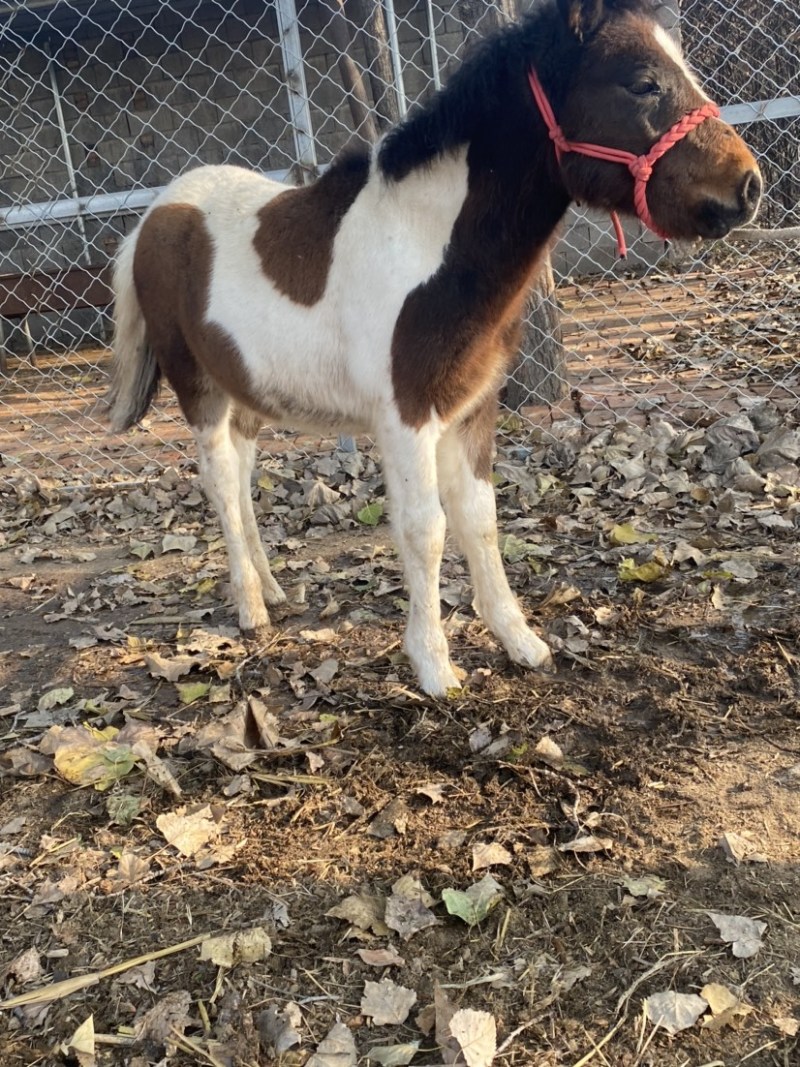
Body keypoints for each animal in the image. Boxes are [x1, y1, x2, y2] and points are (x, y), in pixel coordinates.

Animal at [107, 0, 761, 697]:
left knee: (243, 471)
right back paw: (251, 609)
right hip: (198, 389)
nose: (748, 187)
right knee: (221, 481)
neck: (426, 243)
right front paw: (434, 667)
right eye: (641, 83)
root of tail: (153, 214)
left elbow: (479, 515)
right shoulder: (405, 417)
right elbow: (425, 528)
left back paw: (273, 590)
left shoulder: (472, 407)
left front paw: (521, 642)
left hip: (248, 393)